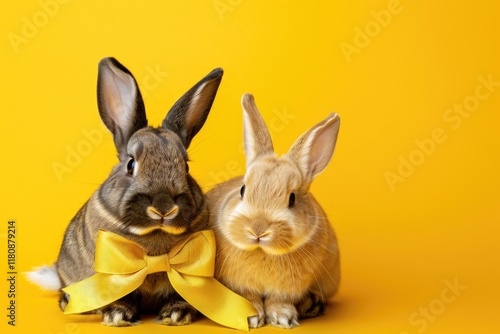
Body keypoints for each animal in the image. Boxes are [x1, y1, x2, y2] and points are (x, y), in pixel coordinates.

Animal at [27, 57, 223, 326]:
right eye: (131, 164)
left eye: (186, 166)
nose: (163, 208)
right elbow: (117, 294)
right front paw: (118, 317)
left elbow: (182, 294)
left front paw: (176, 315)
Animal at [206, 94, 340, 328]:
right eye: (242, 190)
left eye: (292, 198)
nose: (258, 230)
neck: (262, 251)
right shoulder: (240, 285)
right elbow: (249, 298)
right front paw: (252, 317)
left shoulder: (287, 288)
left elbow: (279, 300)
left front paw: (283, 318)